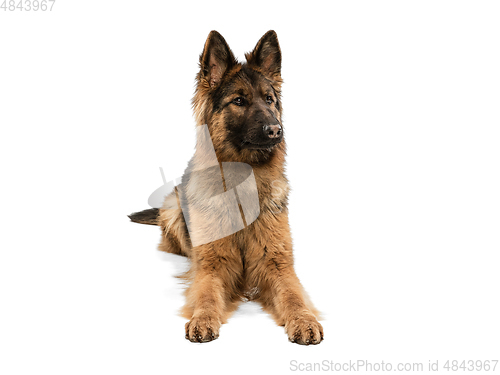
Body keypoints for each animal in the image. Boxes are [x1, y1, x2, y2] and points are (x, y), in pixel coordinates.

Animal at [129, 30, 324, 346]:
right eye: (239, 100)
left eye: (269, 99)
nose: (276, 130)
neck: (241, 187)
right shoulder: (213, 266)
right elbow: (207, 295)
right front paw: (203, 318)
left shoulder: (278, 264)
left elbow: (294, 297)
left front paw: (304, 320)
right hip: (173, 207)